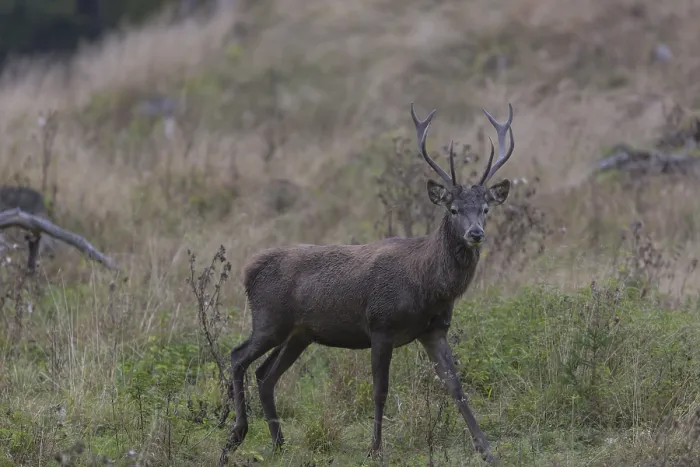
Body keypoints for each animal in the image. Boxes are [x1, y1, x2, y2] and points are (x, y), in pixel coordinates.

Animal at [220, 101, 516, 466]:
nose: (476, 234)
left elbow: (455, 386)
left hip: (299, 333)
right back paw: (236, 436)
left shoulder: (434, 330)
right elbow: (380, 390)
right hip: (269, 319)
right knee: (237, 357)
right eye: (454, 209)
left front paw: (486, 449)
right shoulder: (381, 324)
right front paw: (375, 449)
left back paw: (278, 443)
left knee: (265, 374)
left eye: (486, 208)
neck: (426, 287)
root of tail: (248, 269)